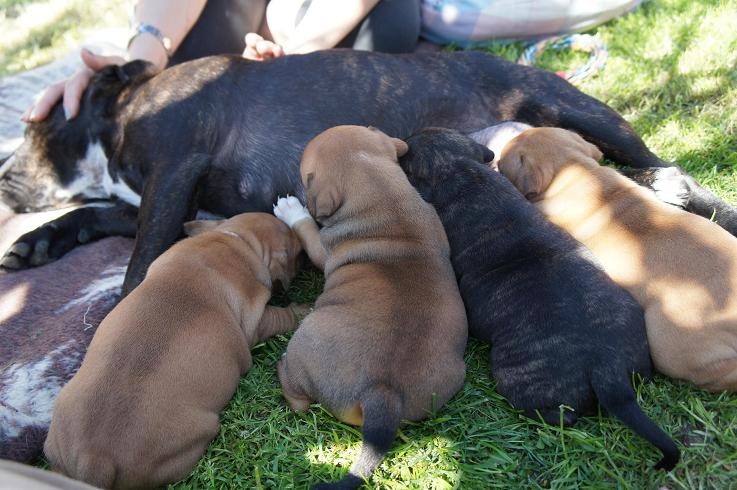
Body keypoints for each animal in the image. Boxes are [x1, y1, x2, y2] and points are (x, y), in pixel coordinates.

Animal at [1, 50, 732, 294]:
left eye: (34, 127)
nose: (3, 176)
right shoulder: (163, 199)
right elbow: (95, 213)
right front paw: (37, 243)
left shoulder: (173, 171)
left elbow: (140, 260)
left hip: (582, 111)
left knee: (670, 172)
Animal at [43, 213, 304, 490]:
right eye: (298, 252)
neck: (238, 239)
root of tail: (94, 459)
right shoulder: (256, 319)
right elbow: (281, 316)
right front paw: (301, 310)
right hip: (193, 437)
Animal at [270, 124, 466, 488]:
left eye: (305, 176)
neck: (382, 192)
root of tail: (382, 393)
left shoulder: (322, 248)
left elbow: (306, 229)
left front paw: (291, 209)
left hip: (307, 341)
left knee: (297, 395)